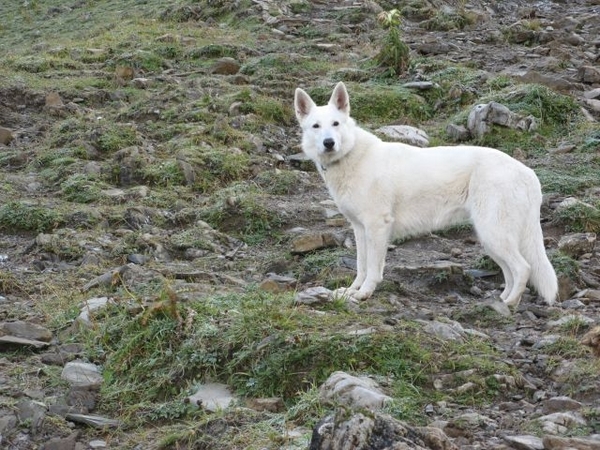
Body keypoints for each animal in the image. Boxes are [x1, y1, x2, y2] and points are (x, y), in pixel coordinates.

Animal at [296, 81, 556, 308]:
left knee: (523, 268)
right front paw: (351, 291)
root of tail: (528, 173)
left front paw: (364, 294)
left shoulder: (377, 227)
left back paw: (510, 303)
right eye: (316, 126)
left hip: (493, 233)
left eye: (336, 124)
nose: (329, 143)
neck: (349, 156)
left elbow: (373, 269)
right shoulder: (360, 229)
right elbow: (361, 266)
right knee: (510, 272)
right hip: (491, 237)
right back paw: (502, 301)